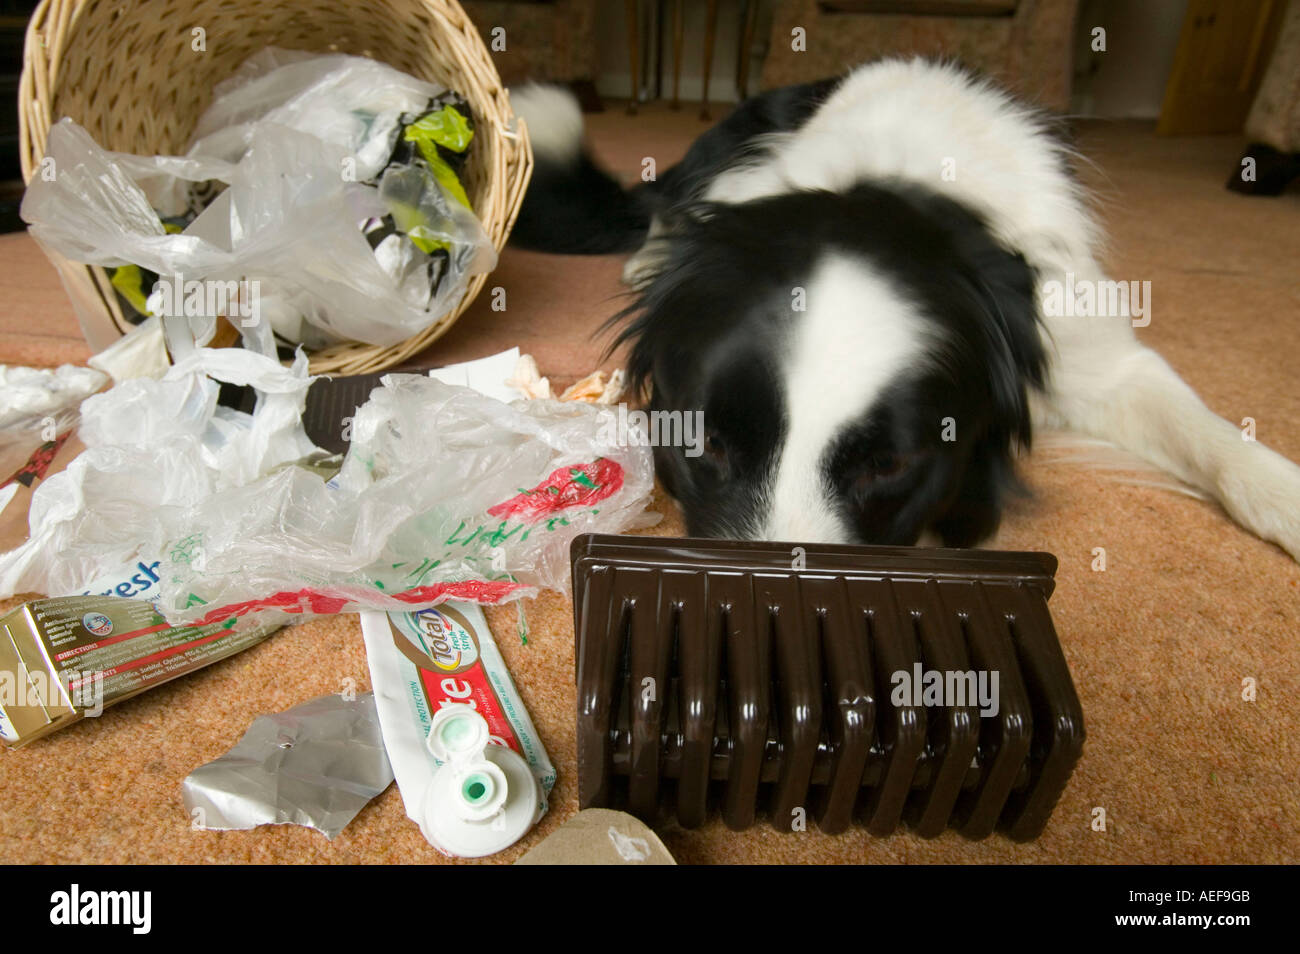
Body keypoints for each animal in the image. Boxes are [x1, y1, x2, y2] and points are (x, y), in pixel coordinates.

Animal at [506, 57, 1300, 561]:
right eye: (703, 441)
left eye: (888, 465)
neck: (889, 188)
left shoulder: (1092, 346)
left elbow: (1212, 433)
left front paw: (1284, 495)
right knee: (659, 208)